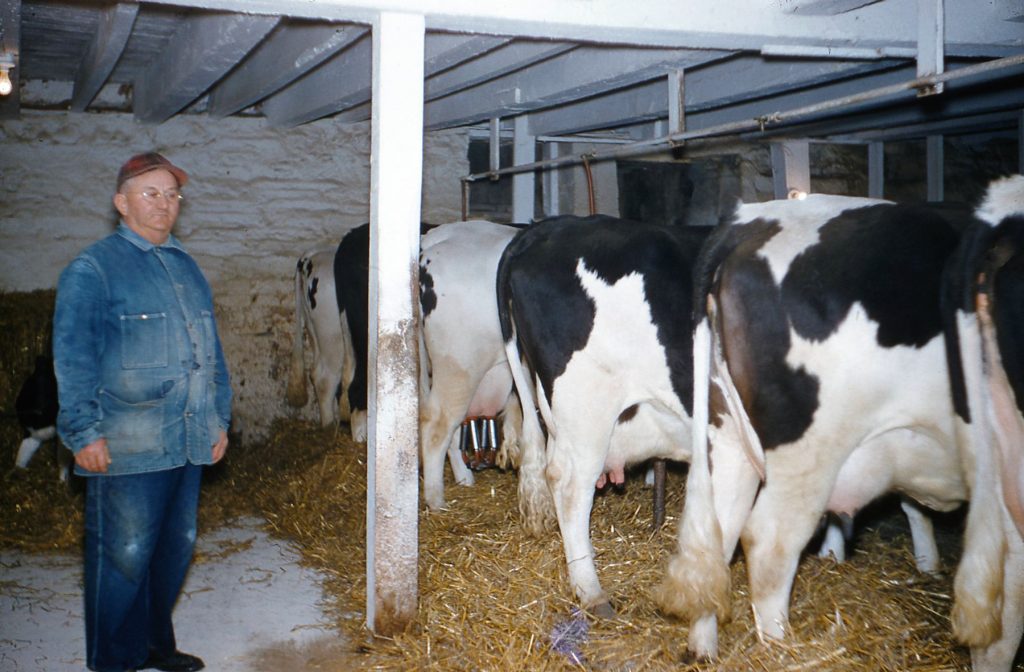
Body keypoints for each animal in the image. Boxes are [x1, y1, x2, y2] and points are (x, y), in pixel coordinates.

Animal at [659, 182, 1019, 667]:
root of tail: (745, 221)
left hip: (728, 436)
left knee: (718, 535)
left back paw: (703, 648)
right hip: (809, 449)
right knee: (769, 542)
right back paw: (783, 652)